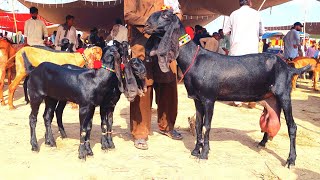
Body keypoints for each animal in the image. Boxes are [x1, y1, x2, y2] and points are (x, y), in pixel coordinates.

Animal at [144, 9, 310, 167]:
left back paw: (291, 160)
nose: (145, 25)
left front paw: (204, 154)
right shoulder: (197, 99)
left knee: (292, 126)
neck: (193, 59)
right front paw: (195, 151)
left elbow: (207, 126)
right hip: (271, 99)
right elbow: (198, 125)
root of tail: (289, 68)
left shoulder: (209, 99)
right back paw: (262, 142)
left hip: (284, 96)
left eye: (165, 15)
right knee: (272, 120)